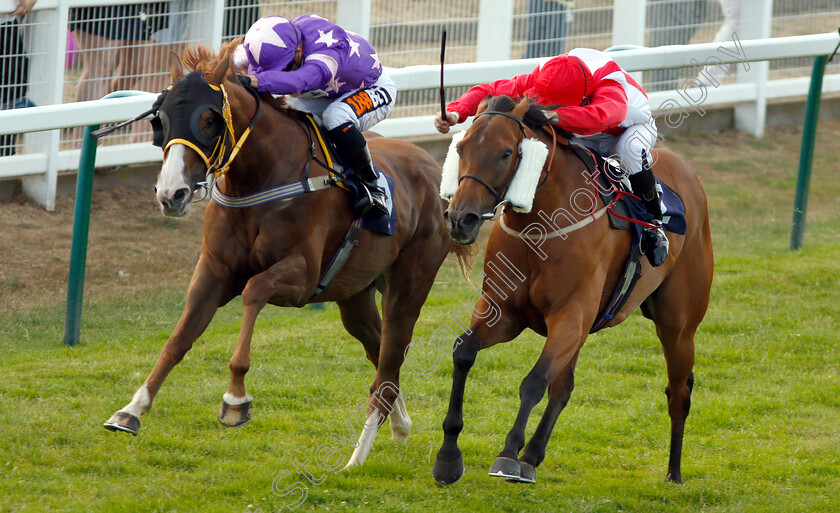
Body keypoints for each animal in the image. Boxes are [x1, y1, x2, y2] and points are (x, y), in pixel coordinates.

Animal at [102, 43, 472, 468]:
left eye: (209, 119)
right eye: (159, 119)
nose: (171, 194)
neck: (261, 177)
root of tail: (433, 170)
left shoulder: (301, 277)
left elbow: (254, 291)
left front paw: (235, 399)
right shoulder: (213, 271)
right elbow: (178, 338)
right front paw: (131, 410)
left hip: (410, 284)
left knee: (390, 359)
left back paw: (356, 457)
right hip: (354, 296)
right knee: (382, 357)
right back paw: (399, 424)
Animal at [434, 96, 716, 484]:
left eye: (506, 153)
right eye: (461, 148)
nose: (460, 219)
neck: (540, 225)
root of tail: (688, 174)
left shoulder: (570, 316)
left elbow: (534, 381)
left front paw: (508, 454)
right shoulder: (504, 312)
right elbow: (464, 352)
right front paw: (448, 456)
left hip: (678, 327)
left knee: (679, 392)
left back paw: (674, 472)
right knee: (564, 387)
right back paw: (533, 455)